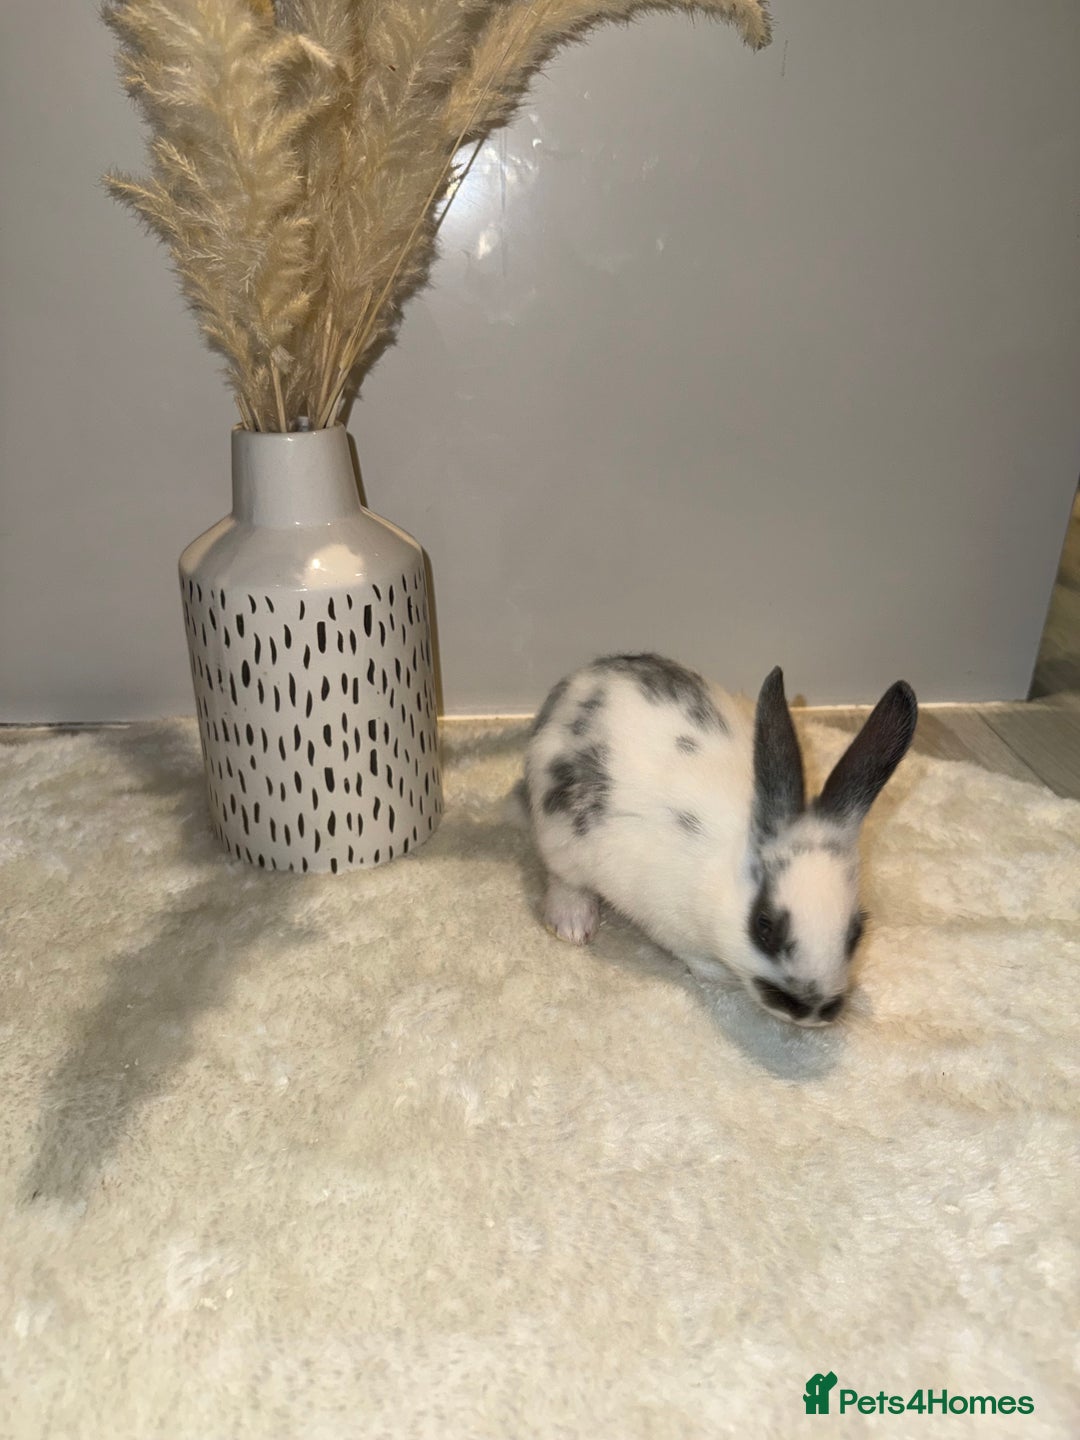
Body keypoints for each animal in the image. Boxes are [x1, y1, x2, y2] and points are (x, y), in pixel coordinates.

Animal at [519, 653, 918, 1026]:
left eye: (856, 933)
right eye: (764, 926)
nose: (811, 1010)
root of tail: (579, 678)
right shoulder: (668, 923)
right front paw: (721, 977)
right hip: (559, 831)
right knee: (564, 879)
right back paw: (572, 926)